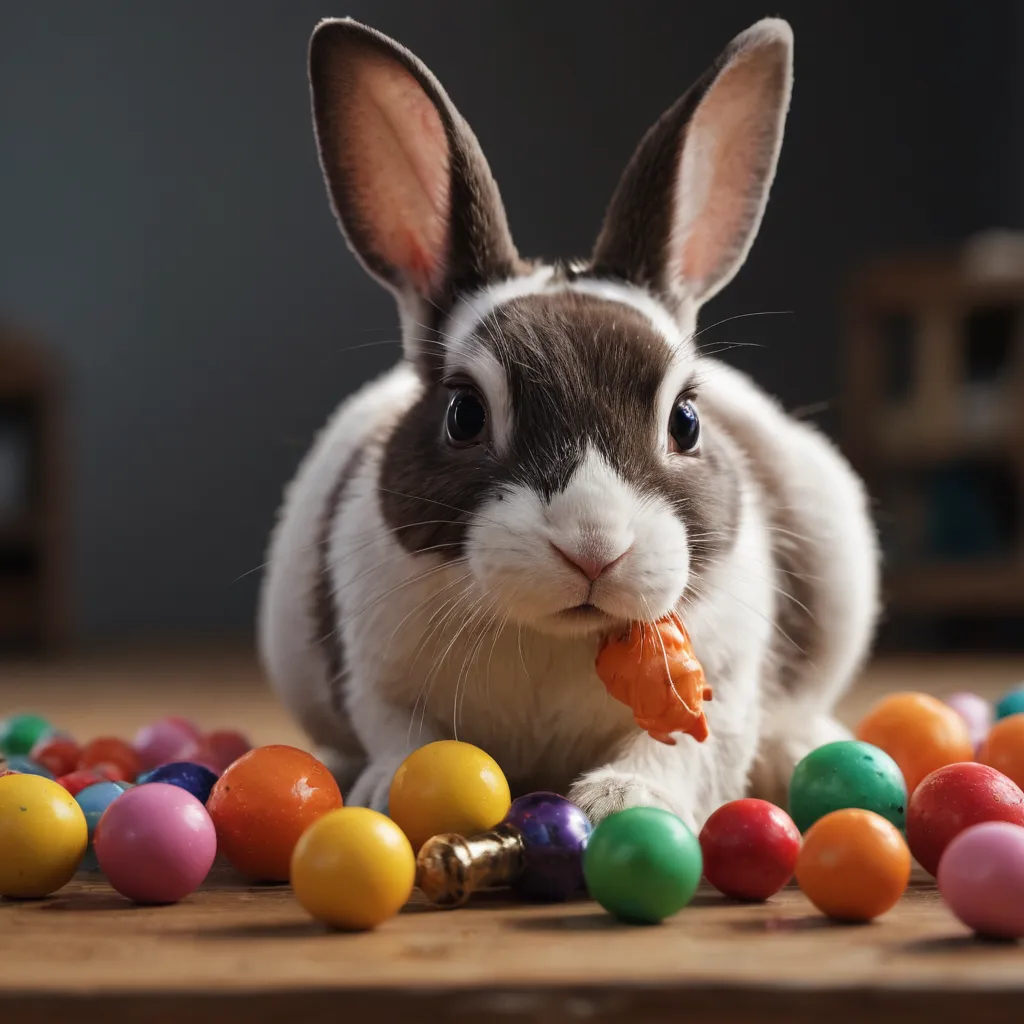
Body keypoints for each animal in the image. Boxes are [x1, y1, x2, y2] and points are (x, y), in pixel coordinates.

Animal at [258, 16, 879, 832]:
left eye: (685, 421)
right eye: (463, 414)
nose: (593, 548)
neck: (555, 636)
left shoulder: (725, 685)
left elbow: (685, 751)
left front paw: (624, 800)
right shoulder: (375, 674)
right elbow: (403, 735)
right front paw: (384, 788)